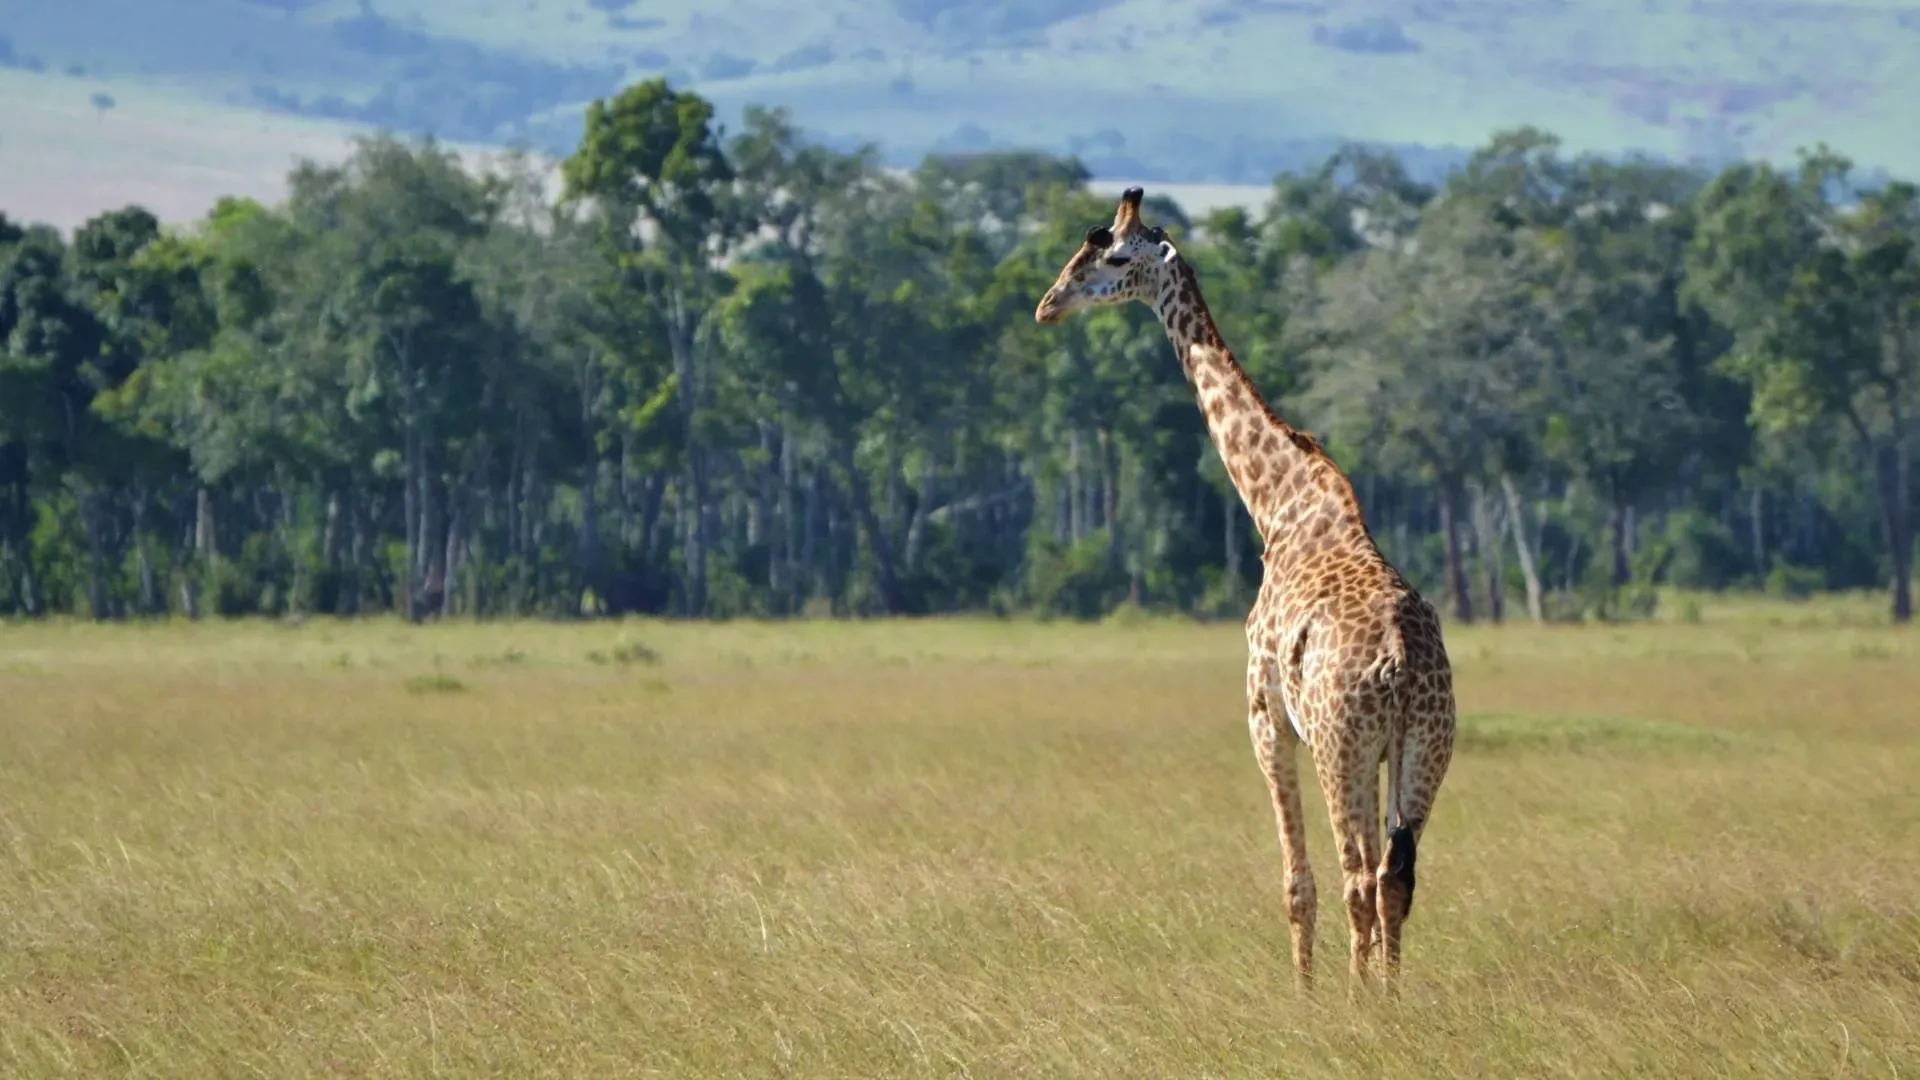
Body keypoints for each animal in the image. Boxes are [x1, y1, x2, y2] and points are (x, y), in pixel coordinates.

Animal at [1034, 187, 1457, 988]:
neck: (1278, 504)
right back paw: (1391, 998)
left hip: (1343, 743)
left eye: (1112, 257)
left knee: (1358, 875)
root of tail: (1400, 663)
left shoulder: (1267, 720)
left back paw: (1359, 1002)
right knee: (1396, 875)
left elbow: (1297, 883)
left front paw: (1305, 998)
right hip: (1425, 745)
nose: (1048, 305)